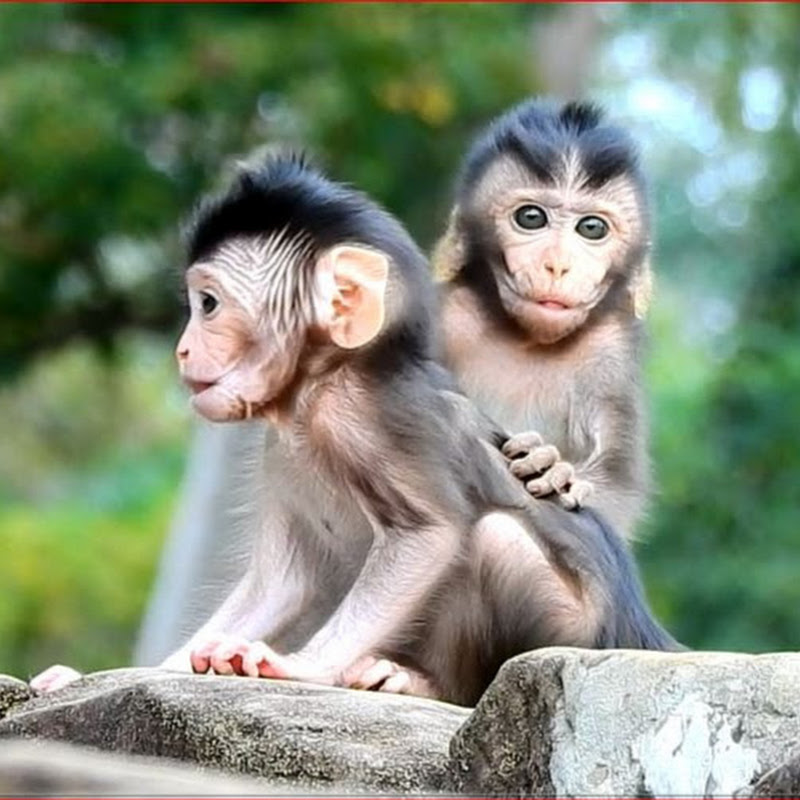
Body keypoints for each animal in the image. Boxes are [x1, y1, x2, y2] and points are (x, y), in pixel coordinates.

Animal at [434, 100, 653, 540]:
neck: (528, 339)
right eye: (531, 218)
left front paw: (553, 470)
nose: (558, 265)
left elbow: (617, 492)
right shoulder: (449, 316)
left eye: (592, 228)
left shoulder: (609, 350)